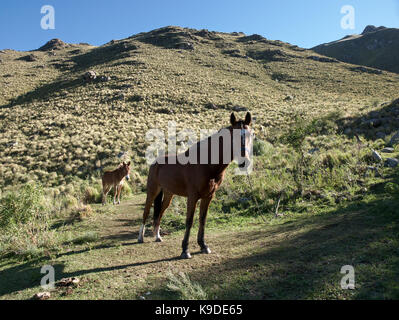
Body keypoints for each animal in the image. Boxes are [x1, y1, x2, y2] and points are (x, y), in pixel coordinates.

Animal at [138, 112, 253, 258]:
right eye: (233, 136)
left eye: (250, 135)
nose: (244, 162)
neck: (206, 165)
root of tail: (155, 162)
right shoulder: (192, 197)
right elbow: (189, 221)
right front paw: (185, 250)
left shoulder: (208, 197)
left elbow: (202, 220)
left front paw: (203, 245)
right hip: (152, 192)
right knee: (146, 212)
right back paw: (140, 237)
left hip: (168, 195)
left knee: (160, 214)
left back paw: (158, 237)